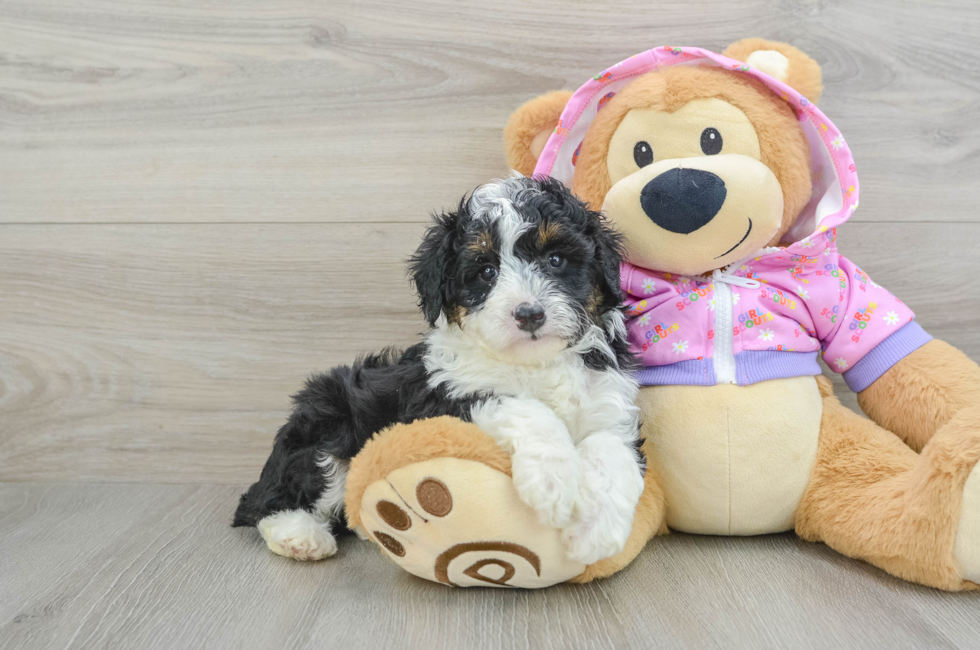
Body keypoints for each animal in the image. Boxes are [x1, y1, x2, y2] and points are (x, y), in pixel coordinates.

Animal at [231, 175, 644, 564]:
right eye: (486, 271)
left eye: (556, 260)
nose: (529, 314)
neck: (535, 361)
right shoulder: (446, 398)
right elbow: (526, 409)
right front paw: (553, 482)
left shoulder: (610, 401)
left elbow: (611, 447)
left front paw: (595, 532)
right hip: (326, 428)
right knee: (264, 502)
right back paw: (300, 536)